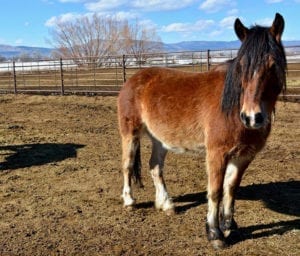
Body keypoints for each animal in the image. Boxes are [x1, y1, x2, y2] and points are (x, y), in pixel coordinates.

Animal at [116, 13, 286, 249]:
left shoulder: (244, 156)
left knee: (155, 167)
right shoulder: (216, 153)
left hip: (160, 140)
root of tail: (132, 80)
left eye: (272, 65)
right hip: (129, 134)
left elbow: (231, 189)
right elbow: (215, 191)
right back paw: (130, 201)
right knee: (127, 166)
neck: (232, 107)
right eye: (241, 66)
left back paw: (166, 204)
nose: (252, 117)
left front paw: (229, 226)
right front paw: (214, 234)